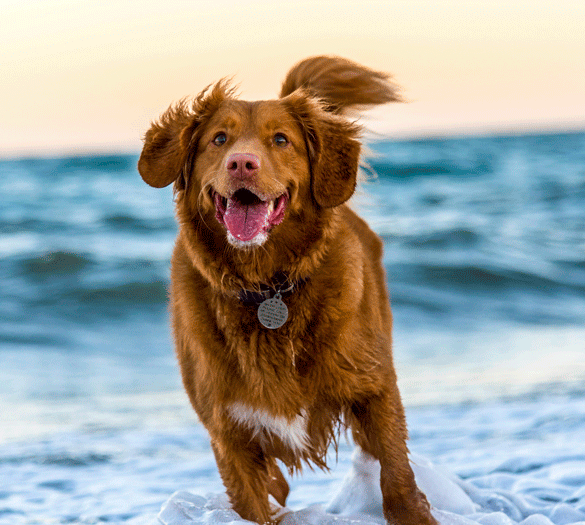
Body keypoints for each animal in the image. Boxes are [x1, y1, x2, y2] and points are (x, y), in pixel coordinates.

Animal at [139, 55, 436, 520]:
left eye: (281, 140)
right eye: (219, 139)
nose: (242, 163)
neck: (267, 286)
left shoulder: (374, 389)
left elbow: (397, 477)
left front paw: (415, 514)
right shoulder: (229, 432)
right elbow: (252, 503)